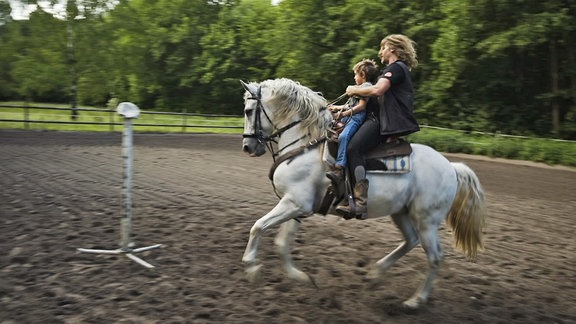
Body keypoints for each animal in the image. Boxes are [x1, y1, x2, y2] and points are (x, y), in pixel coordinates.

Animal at [238, 78, 486, 308]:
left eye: (248, 111)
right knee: (410, 240)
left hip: (427, 220)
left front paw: (251, 268)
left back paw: (416, 300)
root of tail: (451, 167)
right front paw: (301, 277)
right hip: (401, 213)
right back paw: (375, 273)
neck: (306, 144)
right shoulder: (297, 206)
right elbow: (282, 243)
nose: (248, 147)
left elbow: (258, 227)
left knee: (434, 258)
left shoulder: (294, 203)